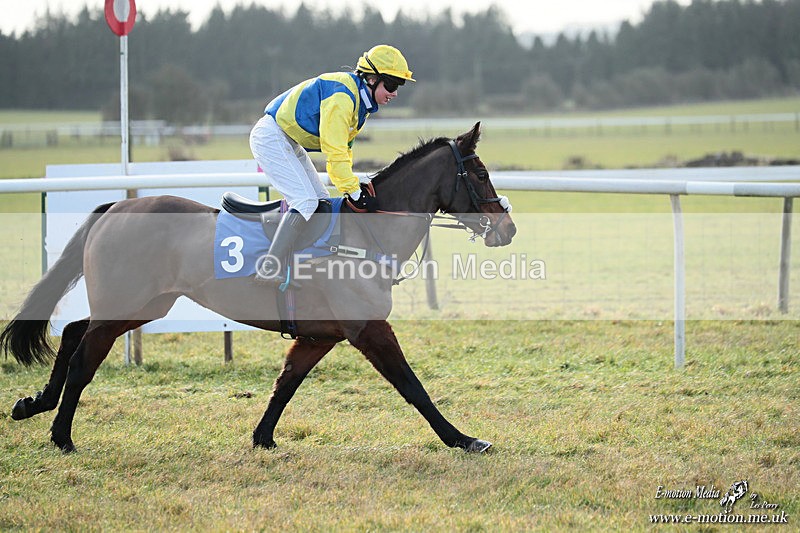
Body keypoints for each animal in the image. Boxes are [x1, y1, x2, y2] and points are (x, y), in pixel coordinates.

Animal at [1, 122, 516, 454]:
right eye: (482, 174)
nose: (507, 228)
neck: (365, 234)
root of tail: (114, 206)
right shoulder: (367, 327)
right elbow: (413, 386)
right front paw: (464, 439)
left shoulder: (319, 335)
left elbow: (286, 384)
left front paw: (262, 437)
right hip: (127, 304)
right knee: (83, 359)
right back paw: (62, 436)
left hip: (144, 305)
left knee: (73, 332)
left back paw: (34, 404)